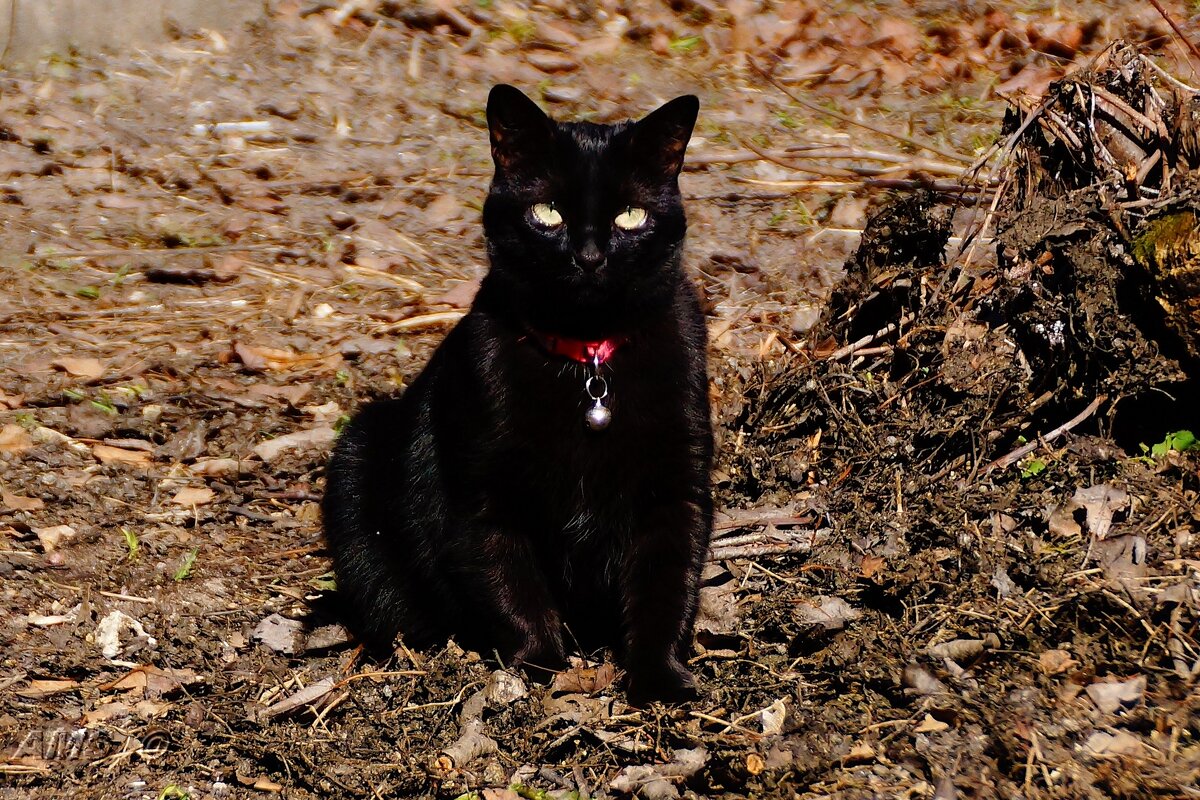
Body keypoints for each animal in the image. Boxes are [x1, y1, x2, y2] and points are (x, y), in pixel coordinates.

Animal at [321, 84, 710, 705]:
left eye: (631, 216)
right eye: (547, 213)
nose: (590, 256)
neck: (588, 362)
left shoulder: (676, 489)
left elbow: (668, 586)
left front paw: (661, 679)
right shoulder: (483, 497)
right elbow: (512, 585)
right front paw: (539, 668)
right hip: (358, 459)